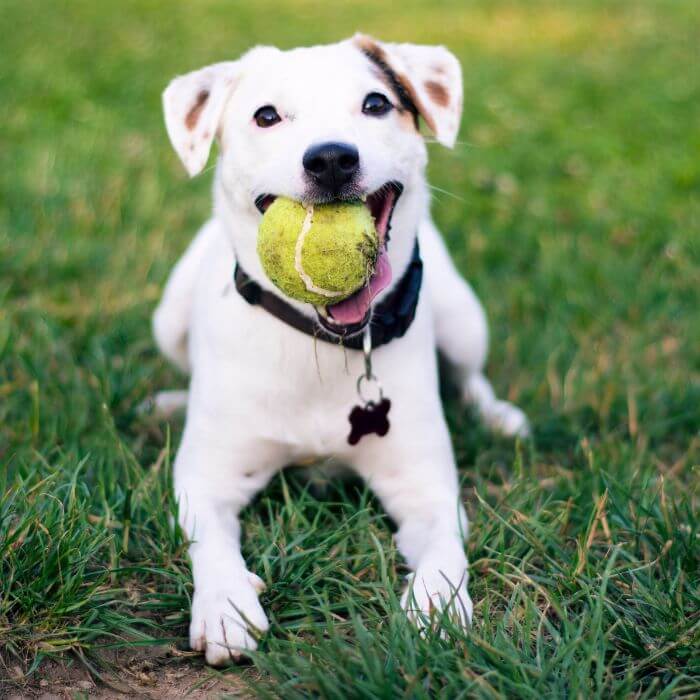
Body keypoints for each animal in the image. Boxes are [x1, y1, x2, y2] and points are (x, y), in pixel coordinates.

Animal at [152, 34, 524, 668]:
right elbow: (211, 541)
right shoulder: (206, 478)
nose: (330, 159)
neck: (323, 344)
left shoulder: (425, 487)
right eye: (267, 116)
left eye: (376, 104)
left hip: (462, 317)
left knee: (472, 376)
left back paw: (498, 416)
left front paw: (436, 604)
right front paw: (225, 603)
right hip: (167, 317)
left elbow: (445, 547)